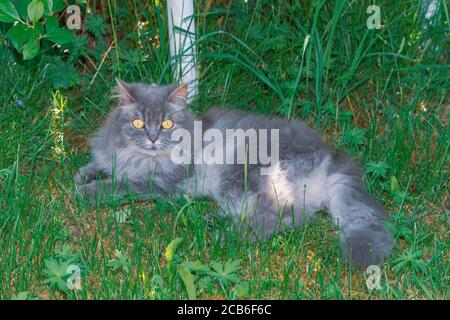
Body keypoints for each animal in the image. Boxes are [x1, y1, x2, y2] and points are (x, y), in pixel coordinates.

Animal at [76, 80, 394, 268]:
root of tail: (330, 157)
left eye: (167, 124)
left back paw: (225, 235)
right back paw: (210, 220)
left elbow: (120, 186)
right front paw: (83, 175)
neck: (141, 158)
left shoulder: (161, 183)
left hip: (246, 176)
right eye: (139, 123)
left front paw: (88, 191)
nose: (153, 138)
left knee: (284, 217)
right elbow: (99, 167)